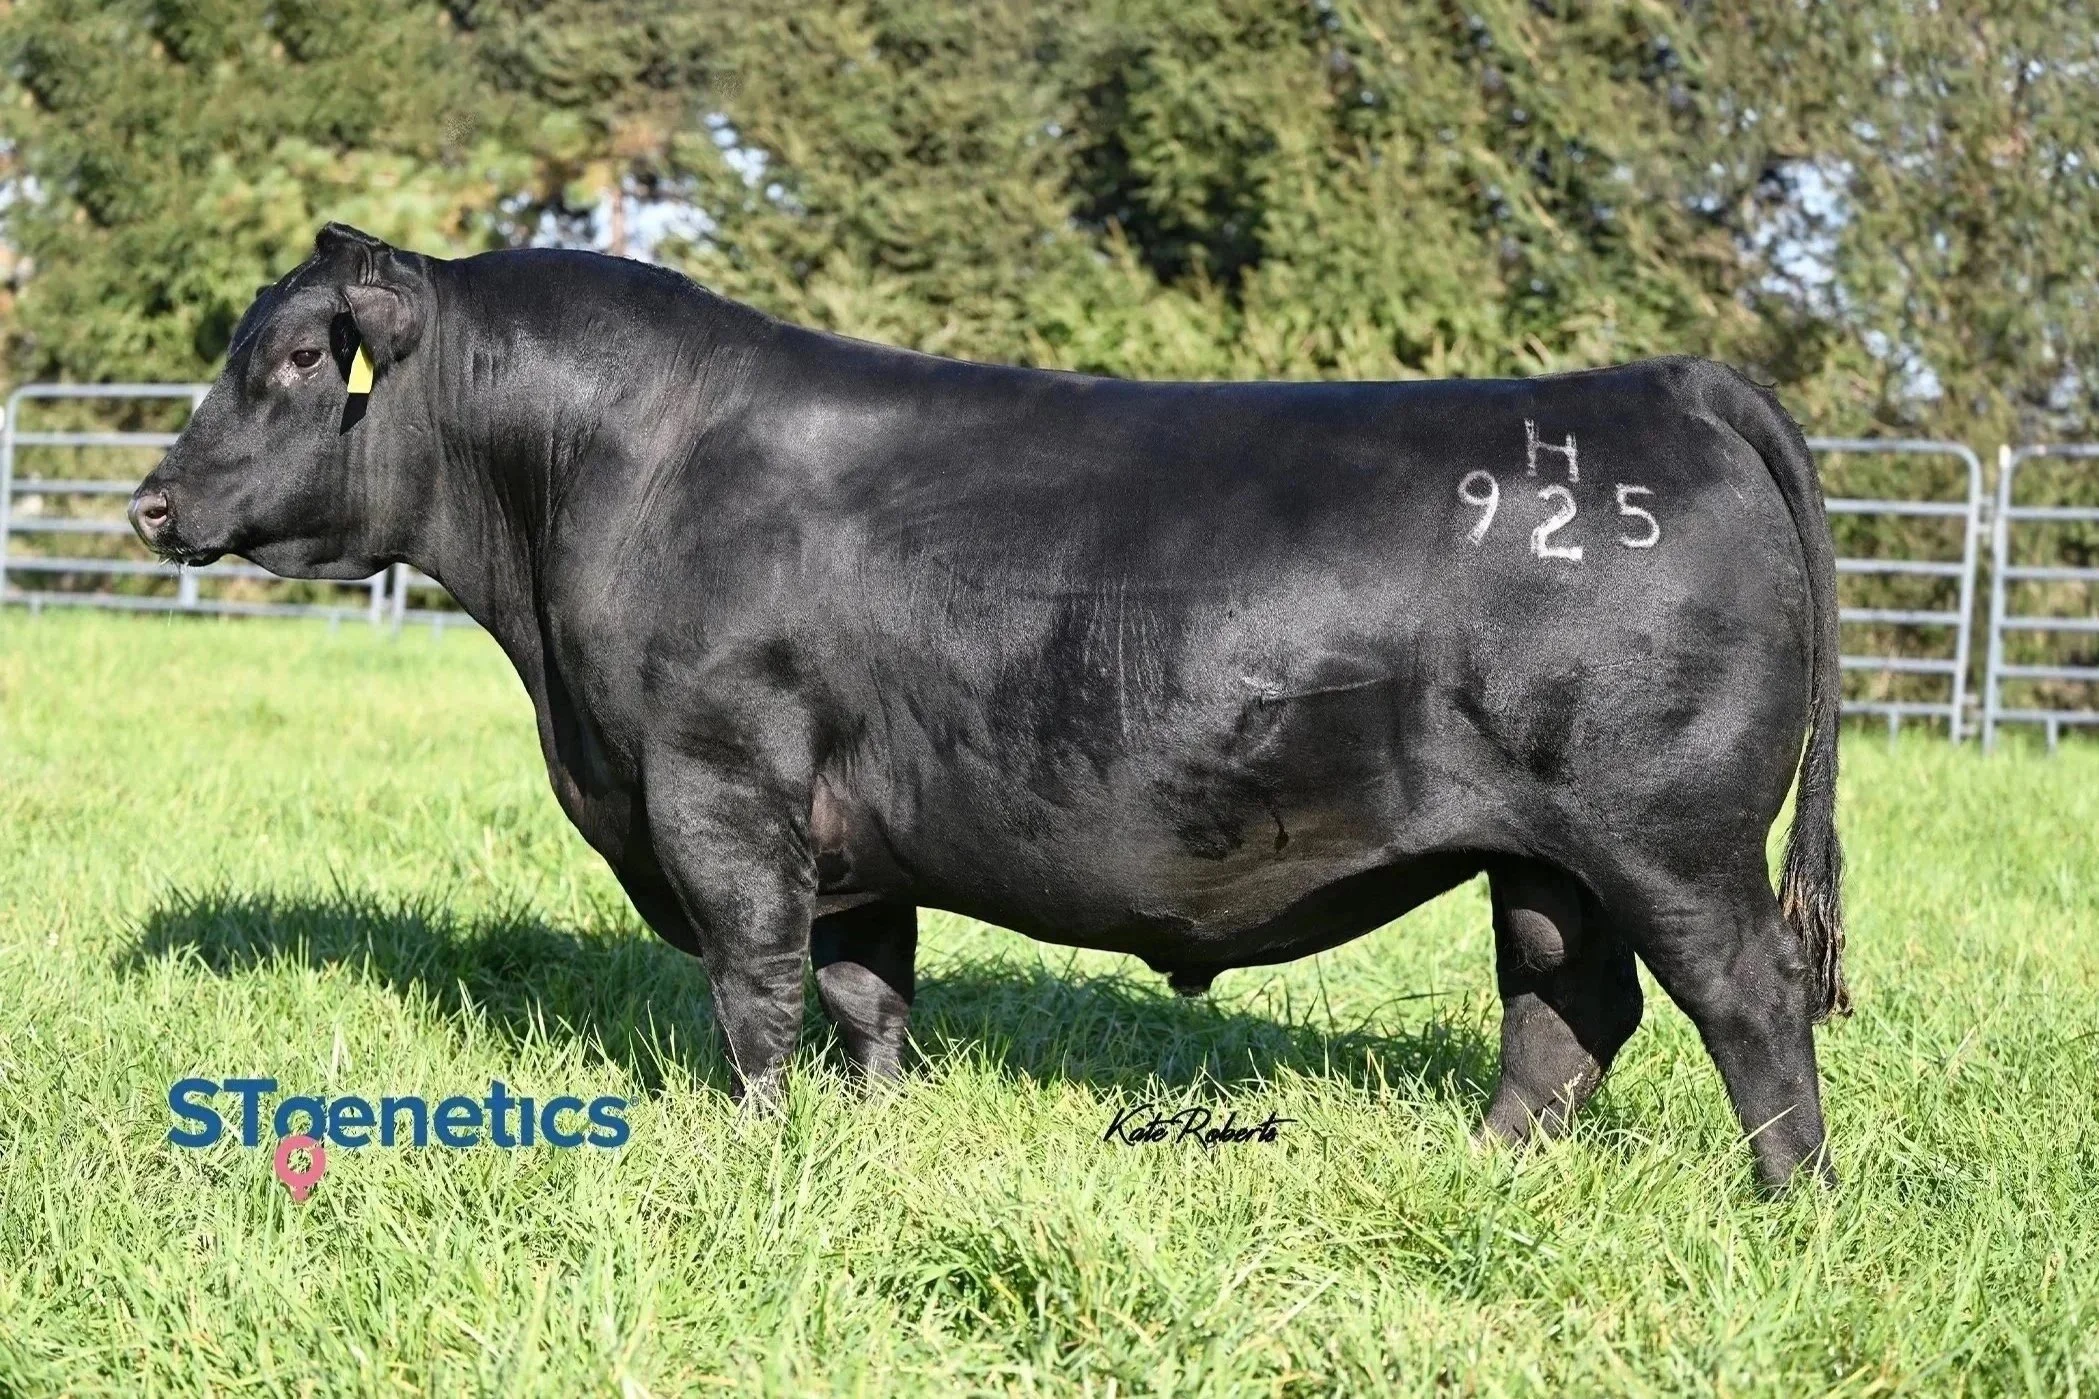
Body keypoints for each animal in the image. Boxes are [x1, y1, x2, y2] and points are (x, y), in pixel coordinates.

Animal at [131, 223, 1848, 1188]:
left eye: (296, 359)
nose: (149, 502)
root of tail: (1660, 382)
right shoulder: (849, 834)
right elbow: (865, 992)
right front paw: (871, 1133)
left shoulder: (716, 784)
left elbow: (756, 991)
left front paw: (753, 1150)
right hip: (1547, 852)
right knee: (1567, 1004)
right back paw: (1485, 1172)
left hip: (1669, 833)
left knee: (1745, 999)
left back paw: (1787, 1204)